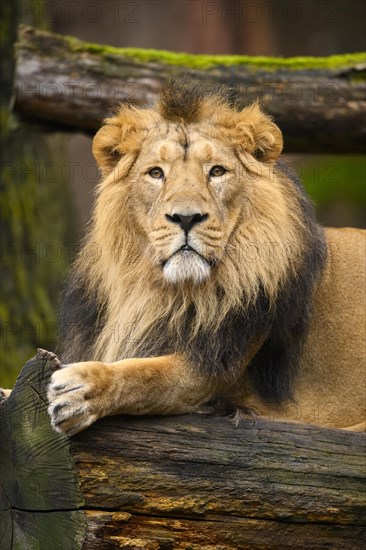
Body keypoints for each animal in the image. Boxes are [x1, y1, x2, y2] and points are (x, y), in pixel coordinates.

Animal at [44, 82, 364, 438]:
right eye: (156, 173)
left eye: (217, 171)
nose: (186, 218)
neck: (162, 293)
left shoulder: (206, 369)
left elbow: (143, 375)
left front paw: (81, 390)